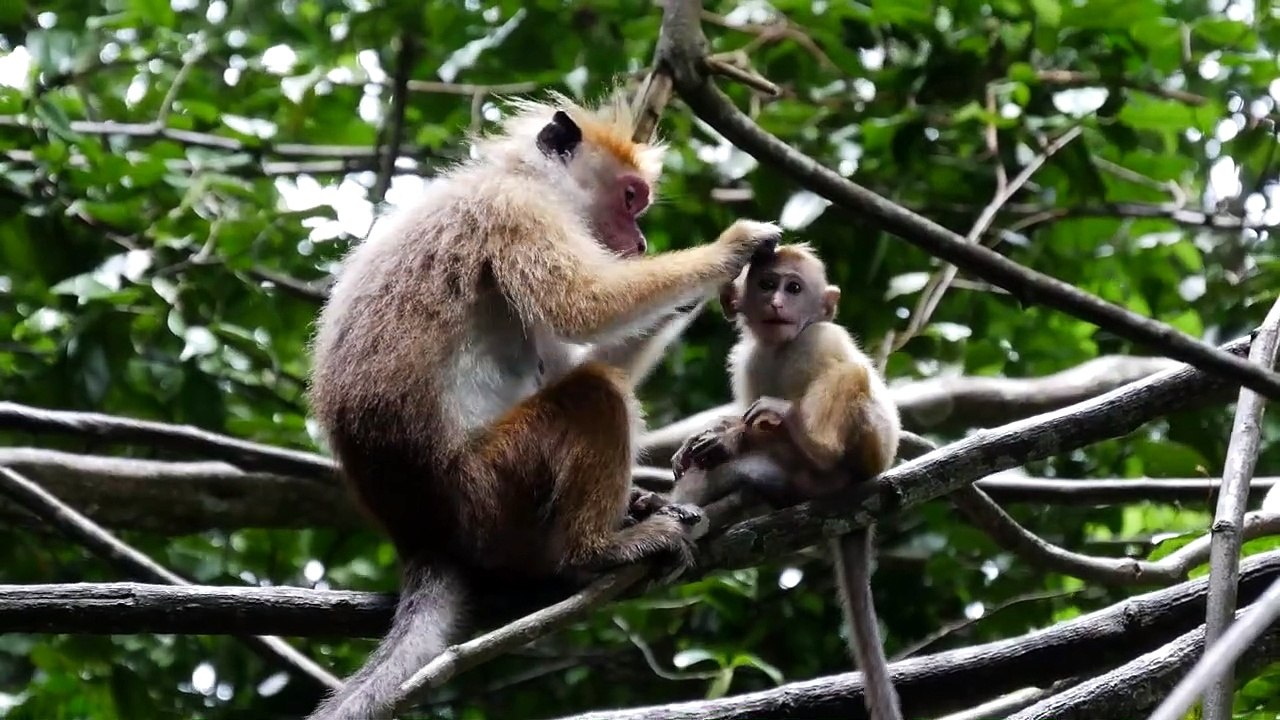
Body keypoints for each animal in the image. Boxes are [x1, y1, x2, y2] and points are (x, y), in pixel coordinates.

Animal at [305, 90, 781, 720]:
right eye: (631, 198)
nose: (640, 243)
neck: (521, 176)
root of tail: (425, 536)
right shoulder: (518, 212)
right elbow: (585, 308)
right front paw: (733, 249)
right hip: (491, 493)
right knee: (594, 394)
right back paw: (597, 549)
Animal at [670, 242, 904, 720]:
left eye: (794, 288)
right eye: (766, 284)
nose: (778, 303)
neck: (782, 347)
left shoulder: (822, 336)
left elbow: (841, 369)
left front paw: (730, 434)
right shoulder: (747, 360)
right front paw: (712, 439)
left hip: (868, 454)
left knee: (849, 378)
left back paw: (812, 440)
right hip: (795, 483)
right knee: (727, 470)